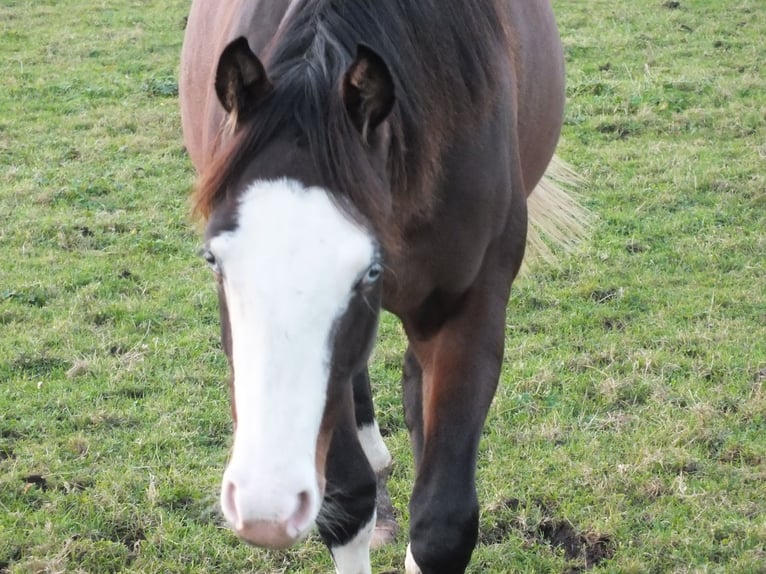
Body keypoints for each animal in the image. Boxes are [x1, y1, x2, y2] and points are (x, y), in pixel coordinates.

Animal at [180, 2, 588, 572]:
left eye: (368, 272)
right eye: (213, 259)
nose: (265, 506)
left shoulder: (472, 310)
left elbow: (442, 524)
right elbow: (348, 502)